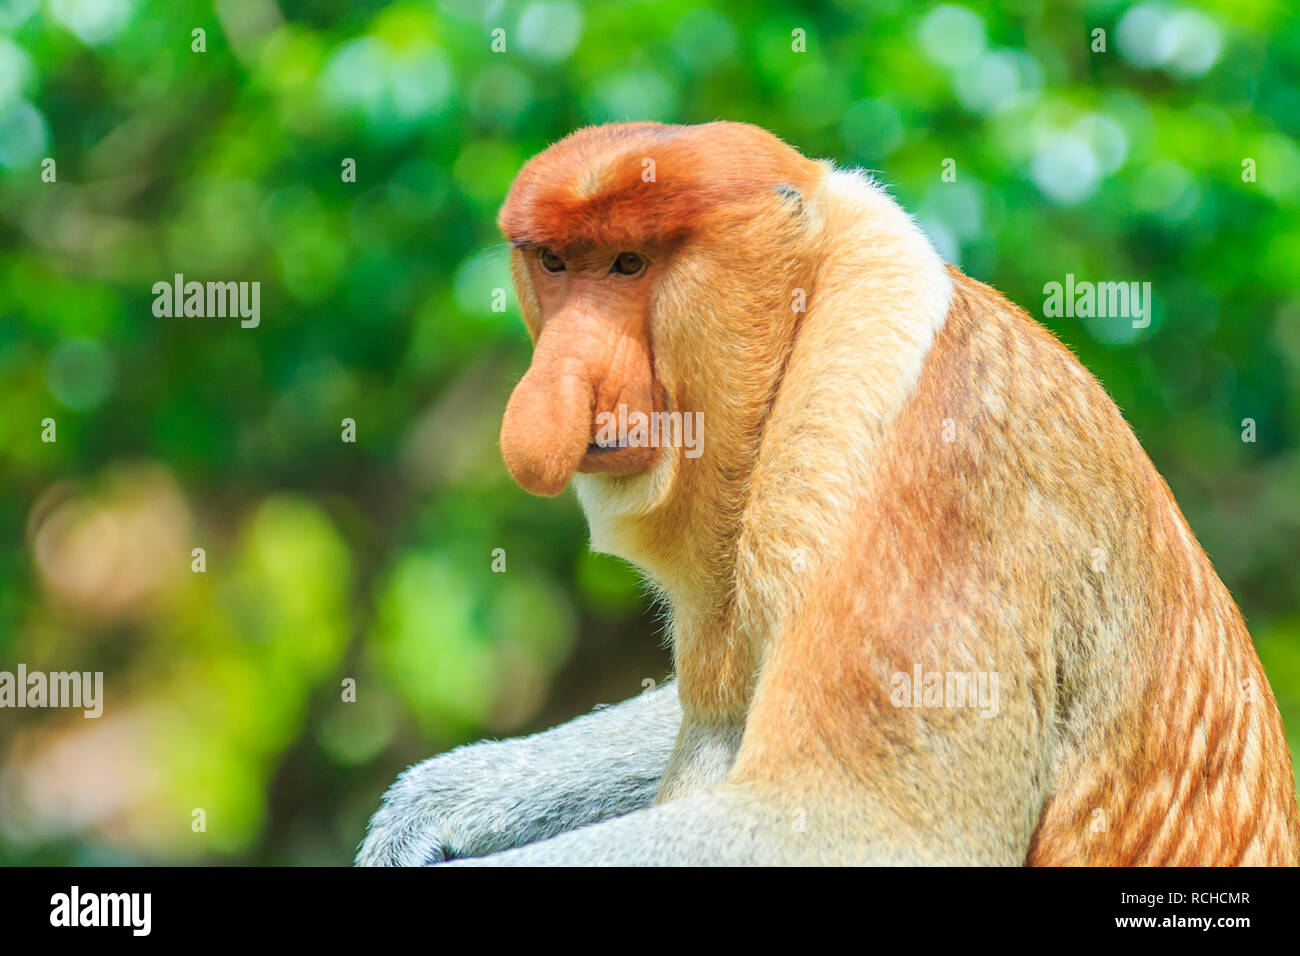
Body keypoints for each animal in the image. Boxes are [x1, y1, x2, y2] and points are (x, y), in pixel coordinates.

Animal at [361, 119, 1300, 868]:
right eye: (556, 265)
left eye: (629, 264)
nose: (558, 390)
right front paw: (432, 805)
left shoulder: (910, 452)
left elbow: (861, 826)